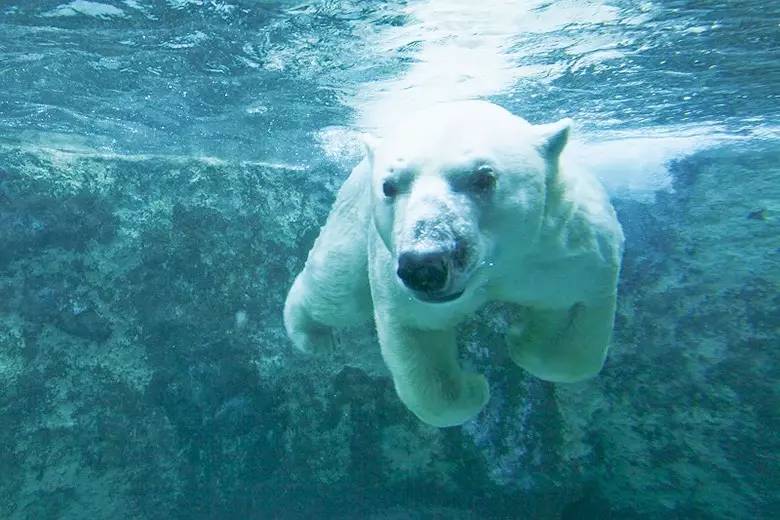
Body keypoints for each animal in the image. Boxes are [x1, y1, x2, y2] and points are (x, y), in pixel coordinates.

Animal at [284, 100, 624, 426]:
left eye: (484, 178)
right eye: (388, 185)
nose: (424, 266)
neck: (497, 266)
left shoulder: (566, 252)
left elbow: (571, 338)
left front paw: (520, 338)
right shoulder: (399, 284)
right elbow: (423, 353)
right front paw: (477, 387)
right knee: (339, 292)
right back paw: (314, 336)